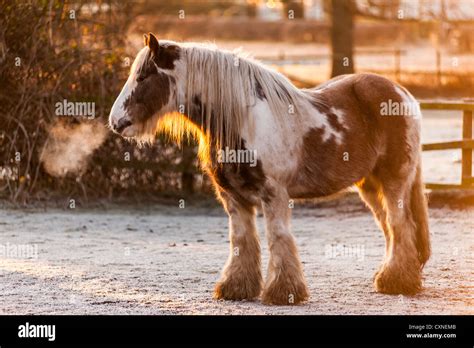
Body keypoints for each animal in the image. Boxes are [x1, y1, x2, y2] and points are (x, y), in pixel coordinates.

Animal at [110, 32, 430, 304]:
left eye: (143, 76)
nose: (116, 122)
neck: (243, 120)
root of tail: (402, 93)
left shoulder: (274, 194)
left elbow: (278, 238)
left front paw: (284, 292)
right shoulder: (233, 197)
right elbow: (242, 240)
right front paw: (236, 288)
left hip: (394, 181)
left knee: (400, 225)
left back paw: (398, 283)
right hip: (370, 185)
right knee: (390, 228)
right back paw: (392, 277)